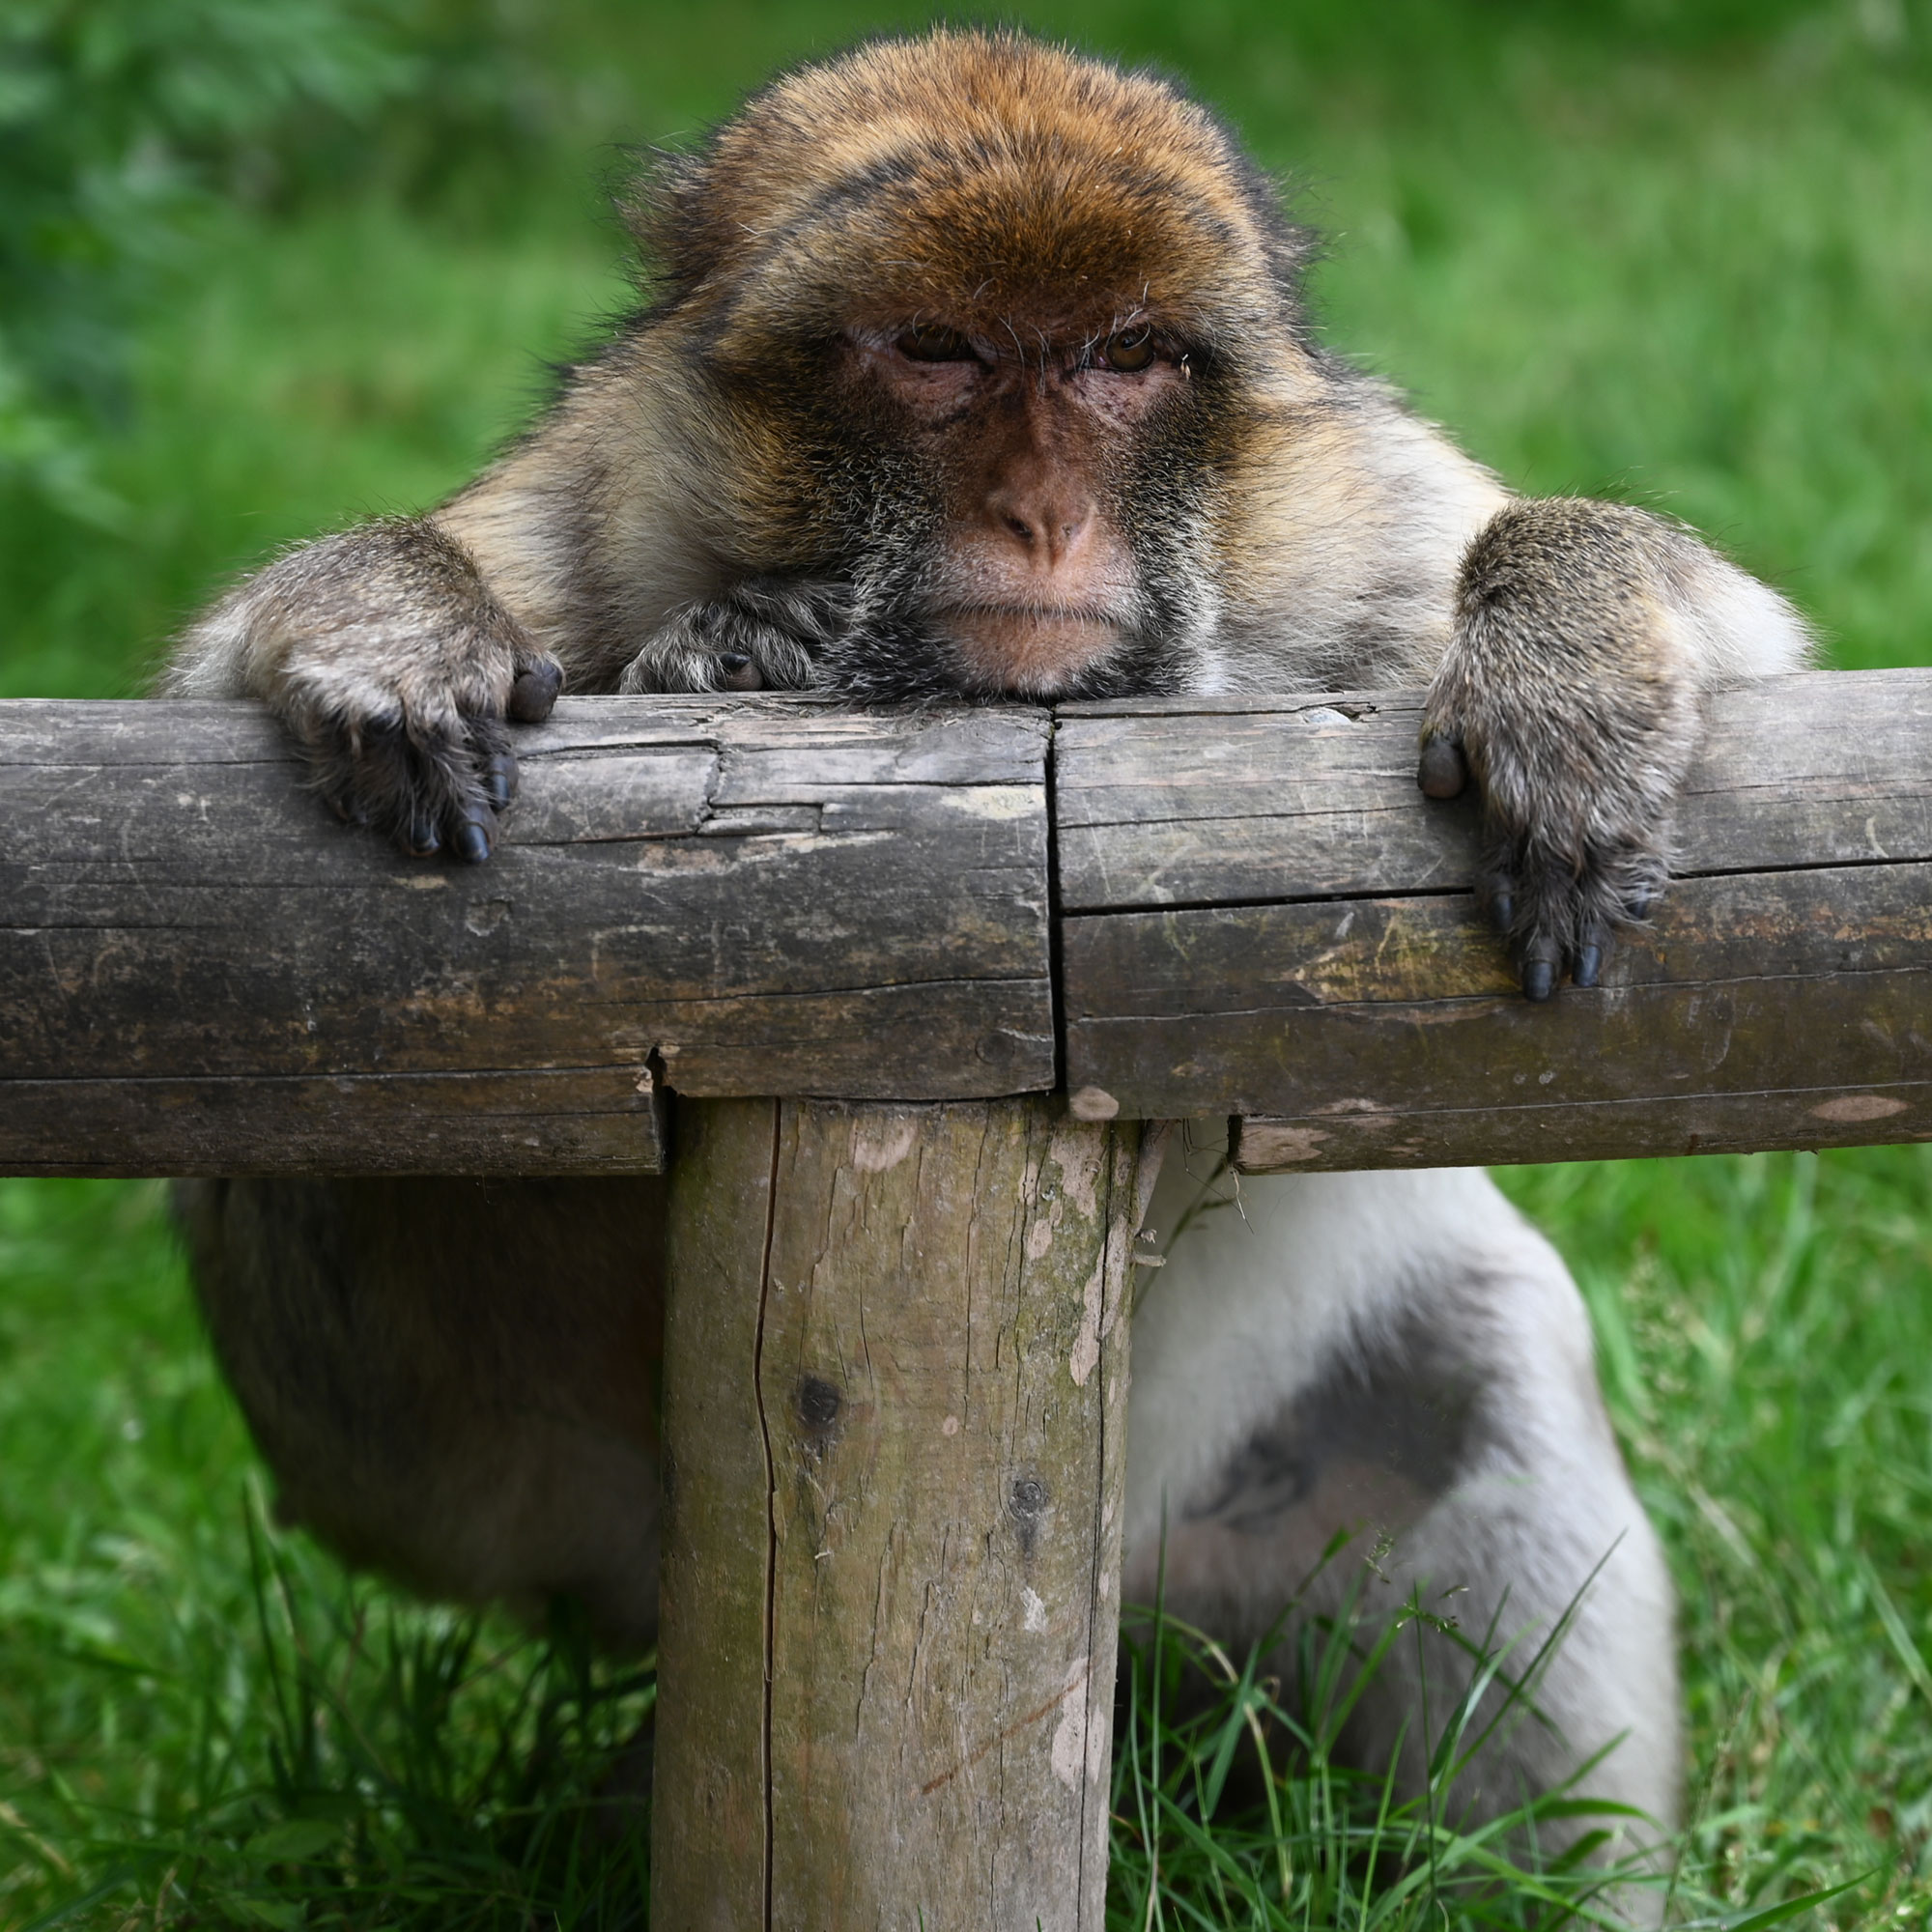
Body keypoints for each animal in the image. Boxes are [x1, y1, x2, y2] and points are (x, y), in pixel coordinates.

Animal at [164, 28, 1812, 1897]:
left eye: (1126, 359)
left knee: (1490, 1358)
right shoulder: (568, 538)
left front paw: (1571, 653)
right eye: (937, 353)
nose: (1038, 514)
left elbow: (1735, 671)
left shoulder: (1355, 537)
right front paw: (415, 616)